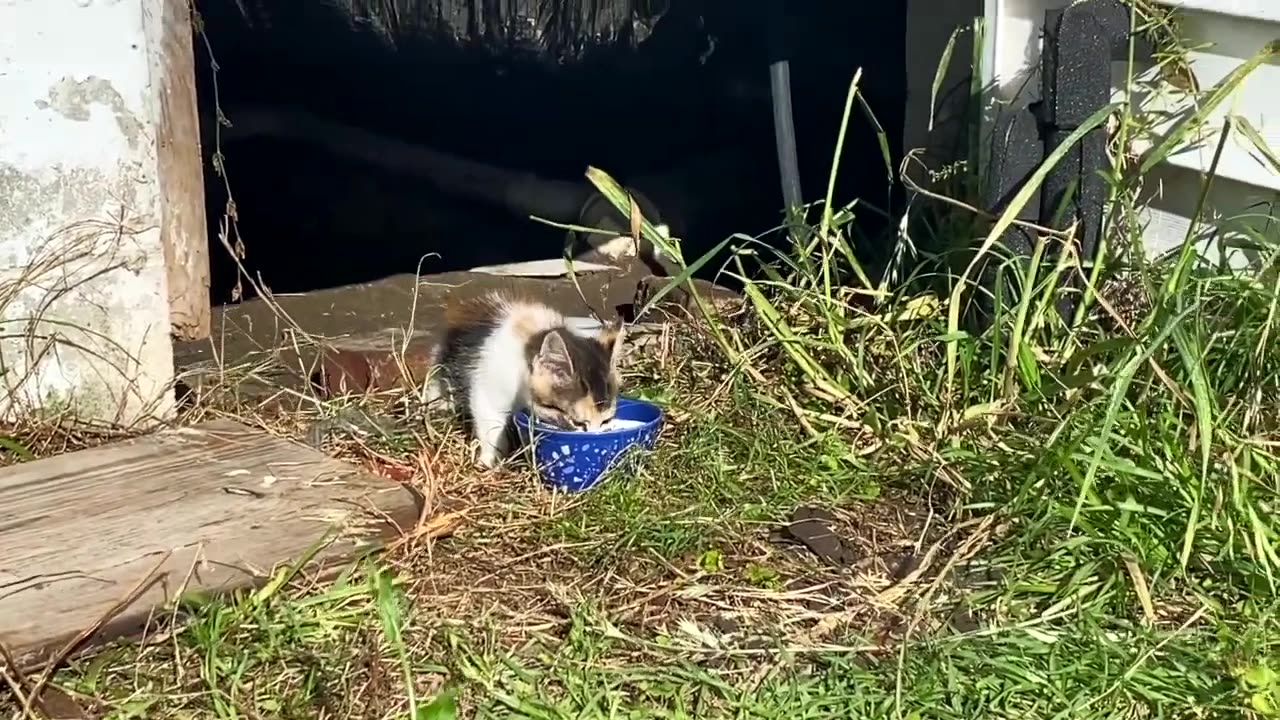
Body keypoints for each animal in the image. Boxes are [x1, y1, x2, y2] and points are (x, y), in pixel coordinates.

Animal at [427, 289, 627, 466]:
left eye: (606, 421)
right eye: (577, 423)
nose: (595, 434)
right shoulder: (489, 384)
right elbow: (491, 422)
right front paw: (492, 460)